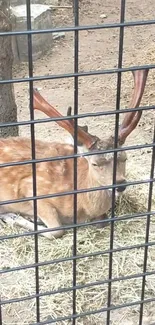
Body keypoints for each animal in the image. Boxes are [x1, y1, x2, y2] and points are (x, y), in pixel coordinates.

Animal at [0, 68, 149, 238]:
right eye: (95, 163)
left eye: (125, 158)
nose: (120, 185)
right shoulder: (32, 188)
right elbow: (57, 230)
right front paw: (18, 217)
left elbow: (102, 221)